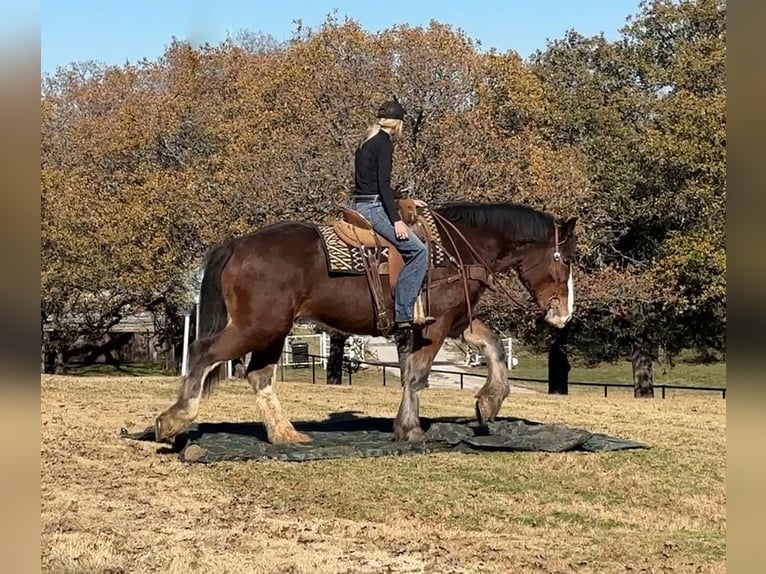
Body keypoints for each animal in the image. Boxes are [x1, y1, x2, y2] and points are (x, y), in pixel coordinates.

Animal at [154, 201, 576, 446]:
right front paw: (410, 429)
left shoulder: (457, 321)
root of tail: (239, 244)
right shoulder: (436, 326)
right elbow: (417, 376)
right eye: (565, 260)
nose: (563, 313)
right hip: (258, 327)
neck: (459, 247)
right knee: (203, 352)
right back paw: (175, 419)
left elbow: (492, 348)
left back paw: (284, 434)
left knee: (258, 376)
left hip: (272, 331)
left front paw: (489, 402)